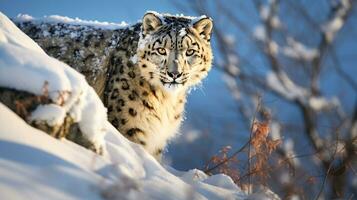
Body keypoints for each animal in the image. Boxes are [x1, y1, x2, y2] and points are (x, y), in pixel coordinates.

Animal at [16, 12, 211, 159]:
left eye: (190, 51)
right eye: (161, 50)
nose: (174, 74)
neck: (167, 101)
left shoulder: (156, 141)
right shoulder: (130, 128)